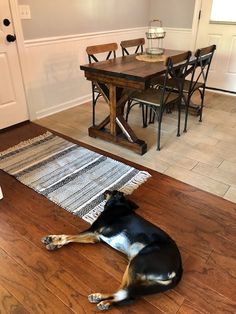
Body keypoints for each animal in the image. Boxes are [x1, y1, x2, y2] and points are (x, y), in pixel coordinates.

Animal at [42, 190, 183, 310]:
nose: (105, 190)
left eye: (113, 191)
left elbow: (68, 236)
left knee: (127, 294)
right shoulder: (95, 237)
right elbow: (72, 238)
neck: (119, 205)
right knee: (129, 294)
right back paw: (102, 299)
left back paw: (104, 300)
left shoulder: (94, 231)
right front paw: (53, 242)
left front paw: (54, 240)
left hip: (137, 262)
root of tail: (178, 269)